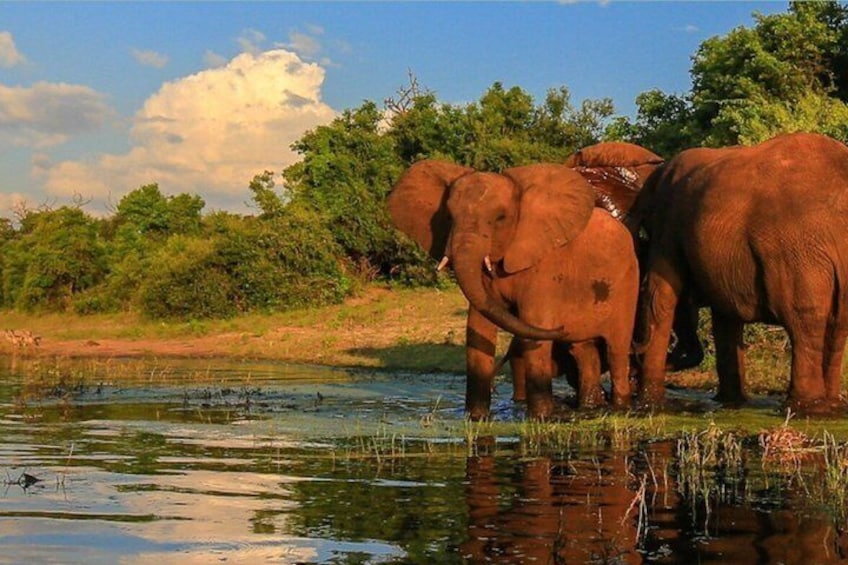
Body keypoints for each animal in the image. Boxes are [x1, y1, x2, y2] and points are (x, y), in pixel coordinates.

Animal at [388, 161, 639, 419]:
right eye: (448, 216)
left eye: (500, 218)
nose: (562, 326)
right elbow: (478, 326)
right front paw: (476, 418)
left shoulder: (544, 267)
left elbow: (533, 323)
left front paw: (541, 418)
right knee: (584, 350)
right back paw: (590, 407)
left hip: (627, 283)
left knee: (616, 350)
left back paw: (619, 407)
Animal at [633, 132, 848, 412]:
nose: (633, 360)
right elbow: (725, 314)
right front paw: (731, 403)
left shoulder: (667, 223)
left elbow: (660, 295)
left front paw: (647, 404)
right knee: (835, 322)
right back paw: (827, 406)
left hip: (797, 251)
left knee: (805, 318)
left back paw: (805, 407)